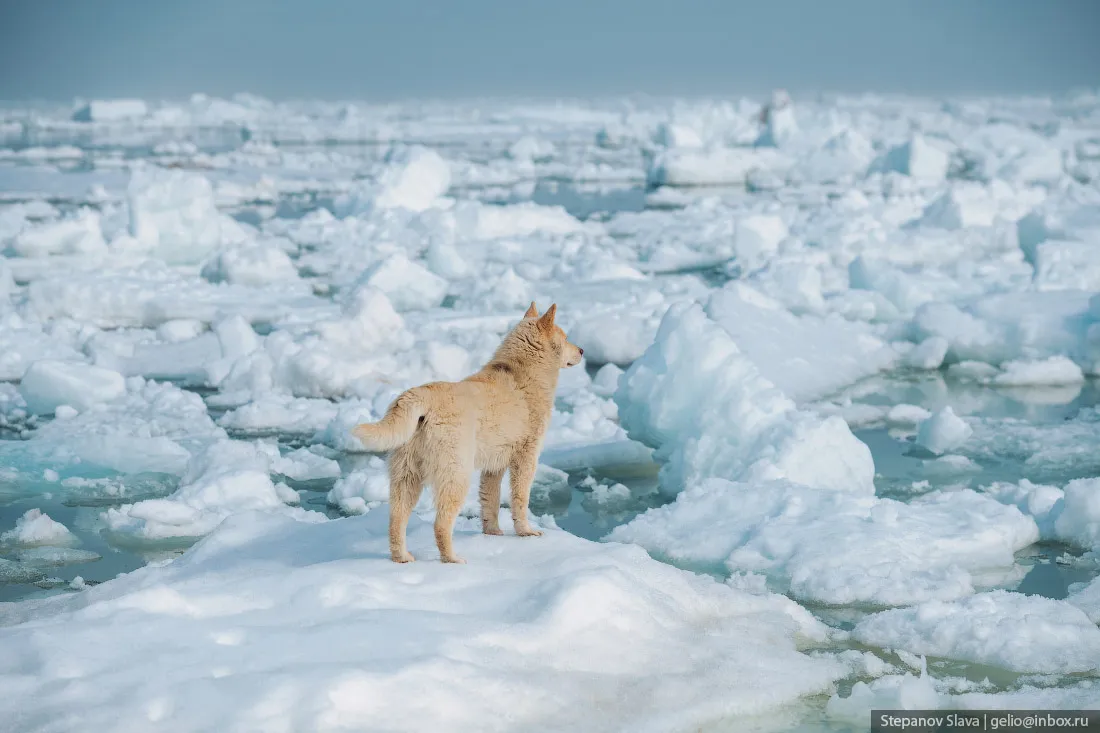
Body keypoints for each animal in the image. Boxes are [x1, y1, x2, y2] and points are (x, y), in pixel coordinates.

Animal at [352, 299, 585, 561]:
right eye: (565, 337)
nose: (582, 351)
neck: (521, 371)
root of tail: (421, 396)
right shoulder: (526, 455)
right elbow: (520, 498)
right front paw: (526, 531)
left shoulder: (494, 465)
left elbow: (490, 500)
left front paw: (493, 533)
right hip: (456, 472)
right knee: (441, 523)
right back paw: (452, 559)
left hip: (406, 473)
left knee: (396, 519)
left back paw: (402, 557)